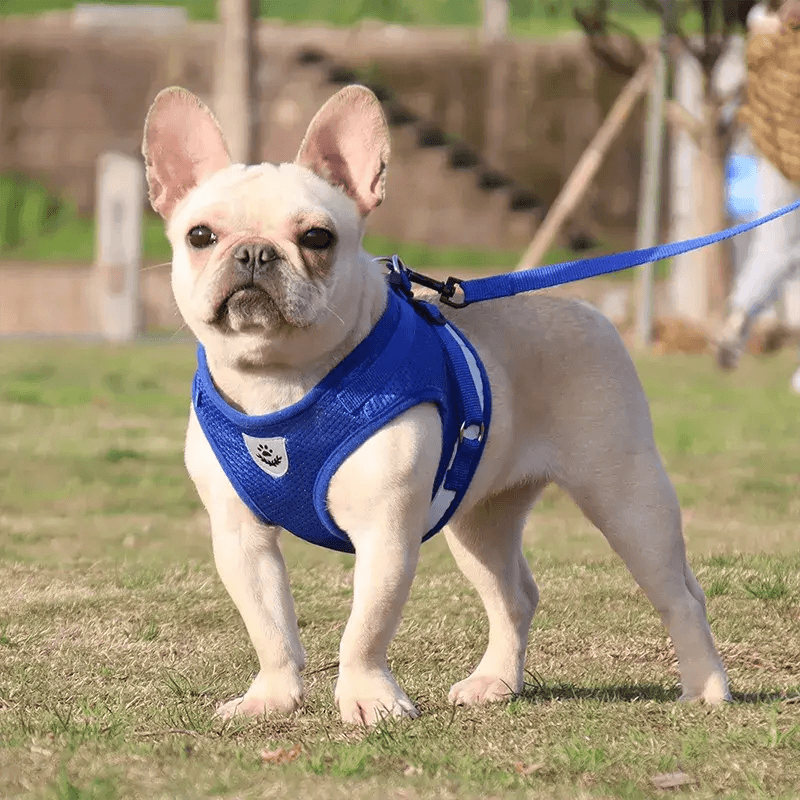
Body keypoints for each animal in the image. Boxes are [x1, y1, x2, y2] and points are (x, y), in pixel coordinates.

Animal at [144, 83, 732, 724]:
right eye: (201, 236)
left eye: (317, 237)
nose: (253, 253)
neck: (281, 378)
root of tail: (587, 309)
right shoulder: (239, 537)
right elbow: (269, 624)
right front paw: (272, 698)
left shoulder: (385, 532)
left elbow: (365, 628)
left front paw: (367, 698)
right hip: (479, 520)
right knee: (514, 596)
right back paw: (495, 682)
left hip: (626, 494)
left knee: (679, 593)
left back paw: (706, 687)